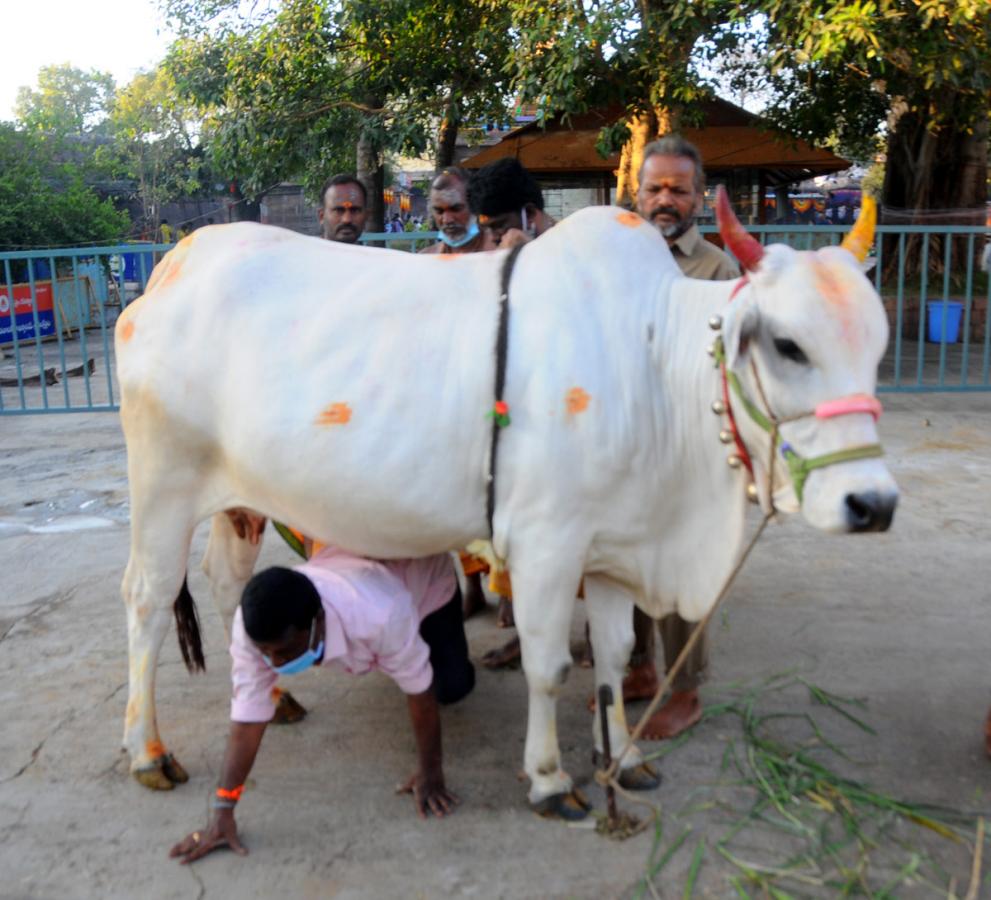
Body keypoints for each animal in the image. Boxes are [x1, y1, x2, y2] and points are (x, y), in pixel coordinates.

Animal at [116, 197, 900, 816]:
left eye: (878, 346)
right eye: (788, 344)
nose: (873, 503)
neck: (652, 365)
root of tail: (175, 263)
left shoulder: (612, 548)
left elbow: (614, 657)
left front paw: (624, 758)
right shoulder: (547, 545)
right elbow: (550, 667)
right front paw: (550, 780)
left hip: (238, 500)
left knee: (226, 582)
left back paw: (275, 699)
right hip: (163, 488)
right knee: (147, 601)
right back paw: (147, 752)